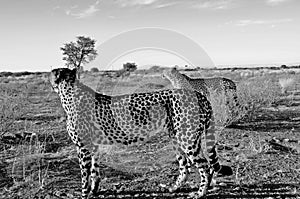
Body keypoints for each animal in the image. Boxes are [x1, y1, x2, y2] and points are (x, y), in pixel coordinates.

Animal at [49, 67, 232, 198]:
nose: (49, 79)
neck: (69, 92)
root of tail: (200, 95)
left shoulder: (83, 147)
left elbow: (85, 174)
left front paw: (84, 194)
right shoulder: (92, 146)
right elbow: (94, 171)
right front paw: (94, 191)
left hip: (186, 138)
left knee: (205, 166)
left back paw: (200, 193)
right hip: (177, 137)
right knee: (185, 166)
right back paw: (173, 188)